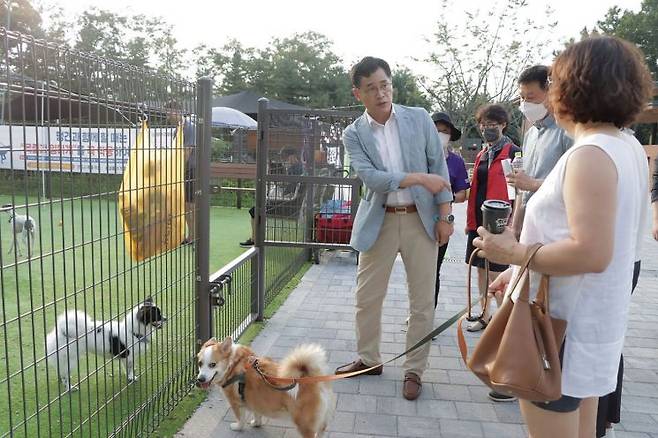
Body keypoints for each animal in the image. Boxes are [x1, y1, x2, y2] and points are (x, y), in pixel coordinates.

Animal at [196, 338, 334, 436]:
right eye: (200, 363)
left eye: (212, 364)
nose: (200, 379)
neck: (233, 363)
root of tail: (315, 381)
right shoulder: (255, 399)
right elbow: (257, 413)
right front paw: (256, 423)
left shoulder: (235, 403)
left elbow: (240, 419)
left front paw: (237, 427)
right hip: (321, 422)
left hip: (304, 423)